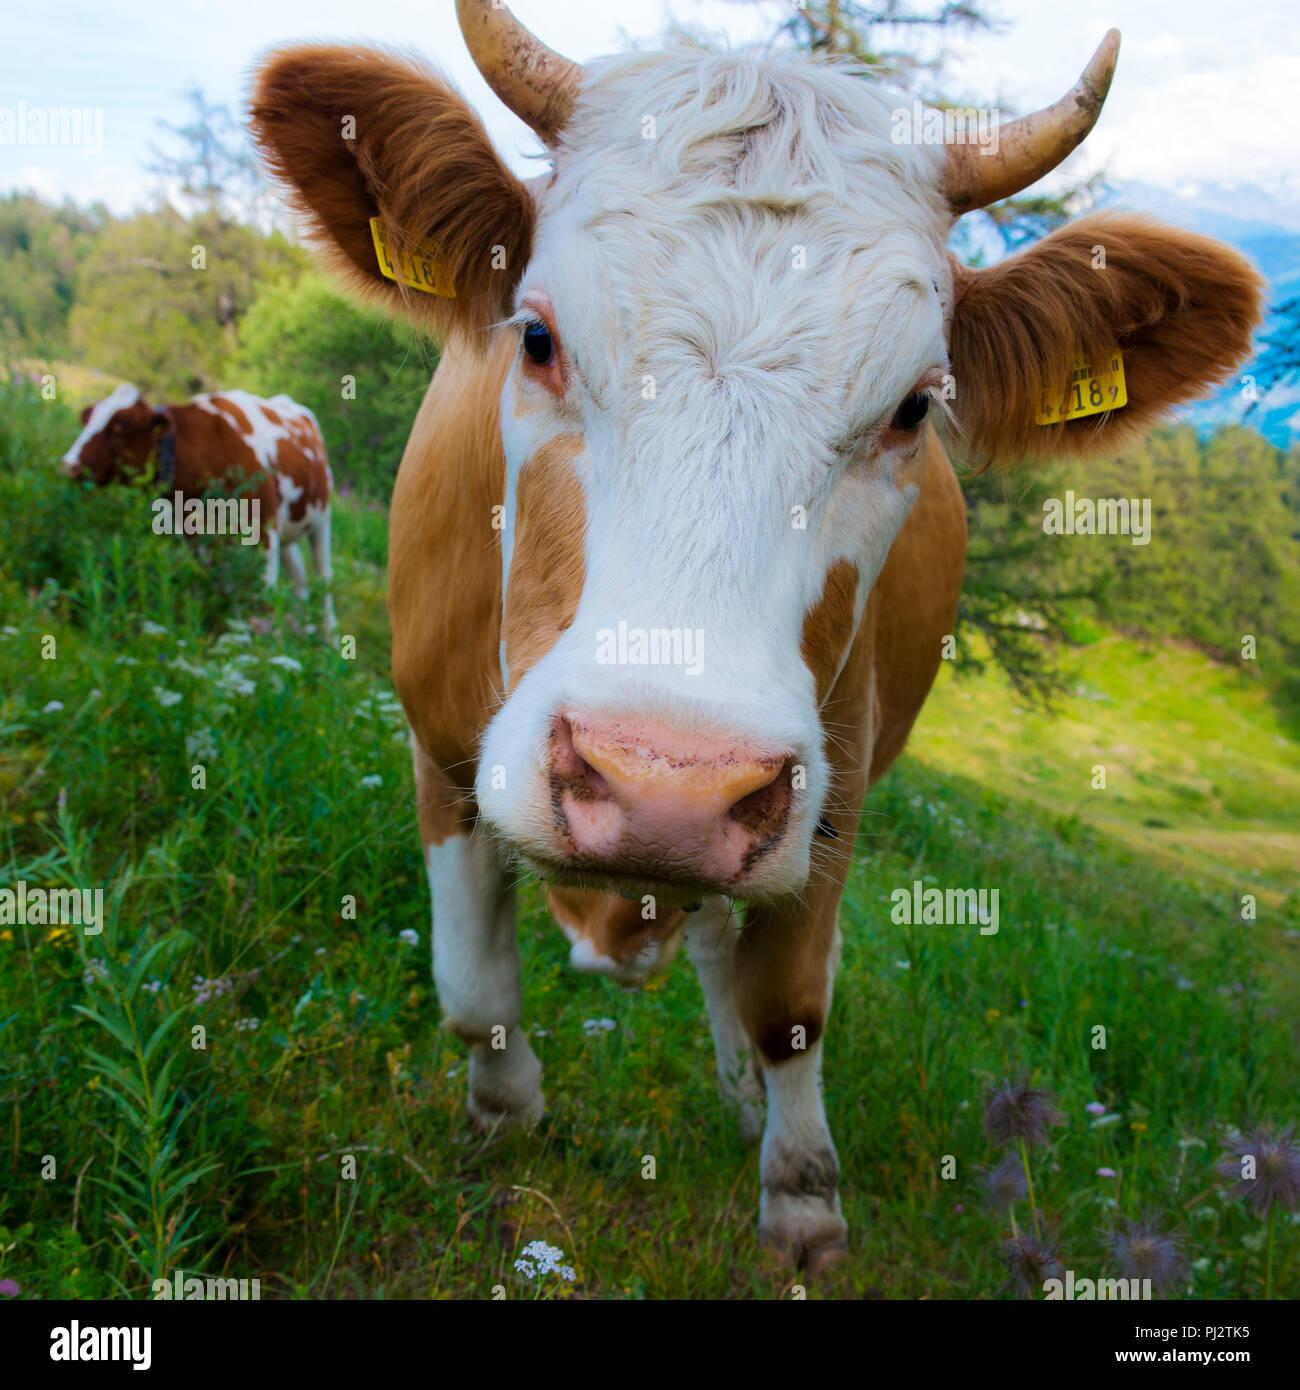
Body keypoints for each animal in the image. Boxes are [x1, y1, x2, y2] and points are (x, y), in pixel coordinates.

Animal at [62, 386, 335, 636]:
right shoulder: (199, 539)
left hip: (321, 521)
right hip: (288, 531)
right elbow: (225, 588)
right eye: (89, 419)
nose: (69, 465)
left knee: (324, 580)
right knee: (299, 578)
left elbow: (263, 595)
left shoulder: (263, 531)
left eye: (121, 424)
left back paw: (328, 639)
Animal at [251, 0, 1262, 1267]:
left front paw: (801, 1196)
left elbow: (787, 1006)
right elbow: (473, 986)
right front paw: (500, 1117)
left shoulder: (831, 795)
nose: (664, 785)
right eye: (535, 336)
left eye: (914, 407)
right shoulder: (438, 749)